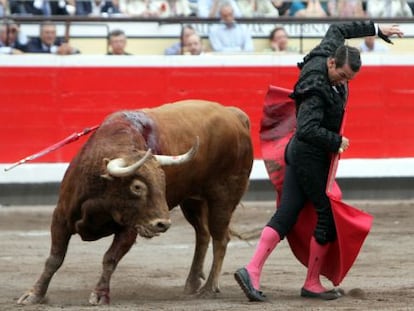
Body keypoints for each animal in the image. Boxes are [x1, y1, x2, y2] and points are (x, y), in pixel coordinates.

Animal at [17, 100, 254, 308]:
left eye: (163, 183)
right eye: (137, 187)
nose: (162, 224)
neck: (102, 196)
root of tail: (235, 116)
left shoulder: (130, 228)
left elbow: (110, 258)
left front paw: (100, 295)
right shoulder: (61, 218)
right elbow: (54, 259)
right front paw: (34, 295)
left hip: (223, 197)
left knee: (220, 238)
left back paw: (208, 288)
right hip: (192, 200)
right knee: (203, 234)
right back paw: (192, 283)